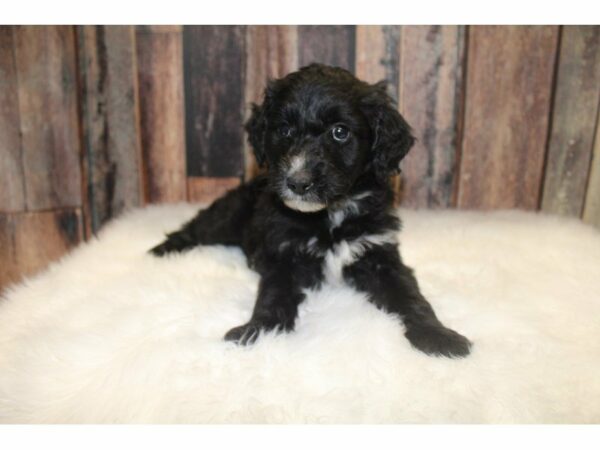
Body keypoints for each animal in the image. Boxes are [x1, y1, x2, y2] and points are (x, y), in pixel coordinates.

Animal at [150, 64, 468, 358]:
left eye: (340, 132)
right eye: (284, 130)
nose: (298, 182)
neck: (330, 214)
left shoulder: (379, 251)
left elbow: (410, 295)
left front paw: (438, 336)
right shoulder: (283, 253)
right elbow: (273, 295)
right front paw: (258, 331)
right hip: (228, 214)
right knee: (197, 227)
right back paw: (161, 252)